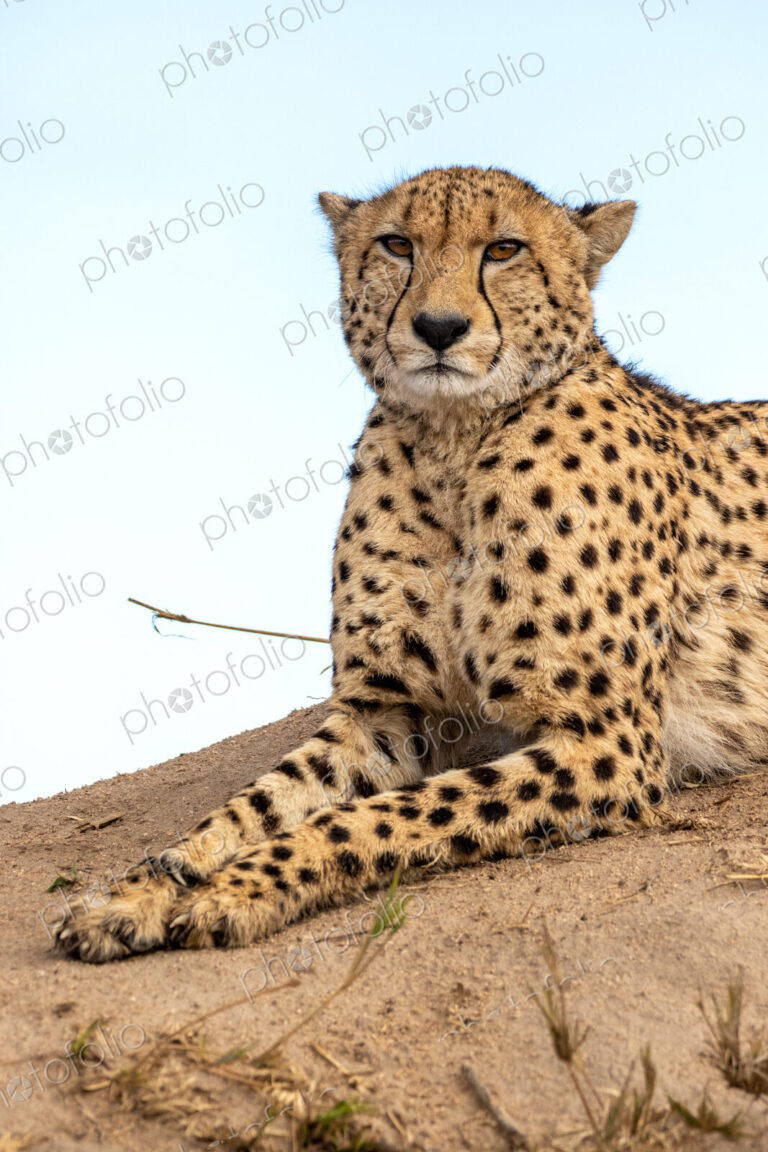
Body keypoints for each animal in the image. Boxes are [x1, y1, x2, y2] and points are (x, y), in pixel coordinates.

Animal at [56, 164, 768, 963]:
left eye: (504, 249)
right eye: (398, 245)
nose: (438, 328)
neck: (454, 443)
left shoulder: (603, 741)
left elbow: (375, 817)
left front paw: (240, 889)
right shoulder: (385, 712)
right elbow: (251, 805)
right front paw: (139, 890)